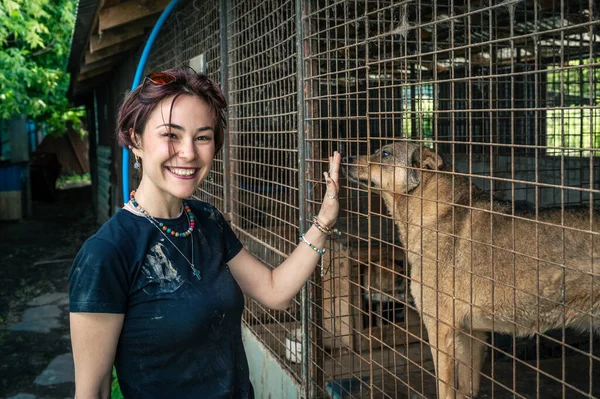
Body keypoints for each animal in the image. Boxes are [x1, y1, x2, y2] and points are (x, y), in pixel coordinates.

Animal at [344, 142, 596, 398]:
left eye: (384, 154)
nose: (345, 157)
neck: (436, 213)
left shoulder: (441, 331)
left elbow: (445, 390)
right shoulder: (472, 334)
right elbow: (467, 389)